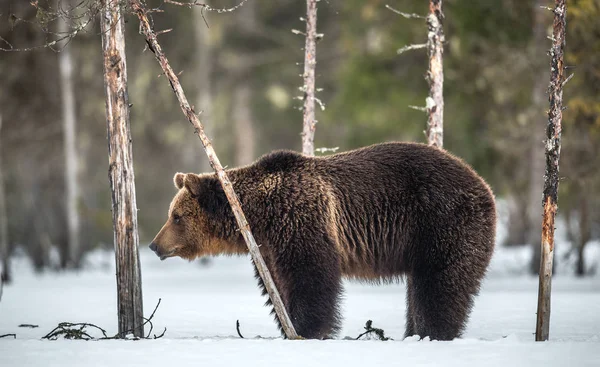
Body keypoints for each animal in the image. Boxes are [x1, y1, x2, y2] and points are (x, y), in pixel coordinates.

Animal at [150, 142, 496, 342]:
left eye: (176, 216)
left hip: (442, 221)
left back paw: (431, 333)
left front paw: (308, 330)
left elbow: (310, 277)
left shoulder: (300, 218)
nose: (154, 245)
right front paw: (288, 325)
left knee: (439, 282)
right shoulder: (268, 247)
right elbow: (277, 287)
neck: (256, 216)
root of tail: (483, 184)